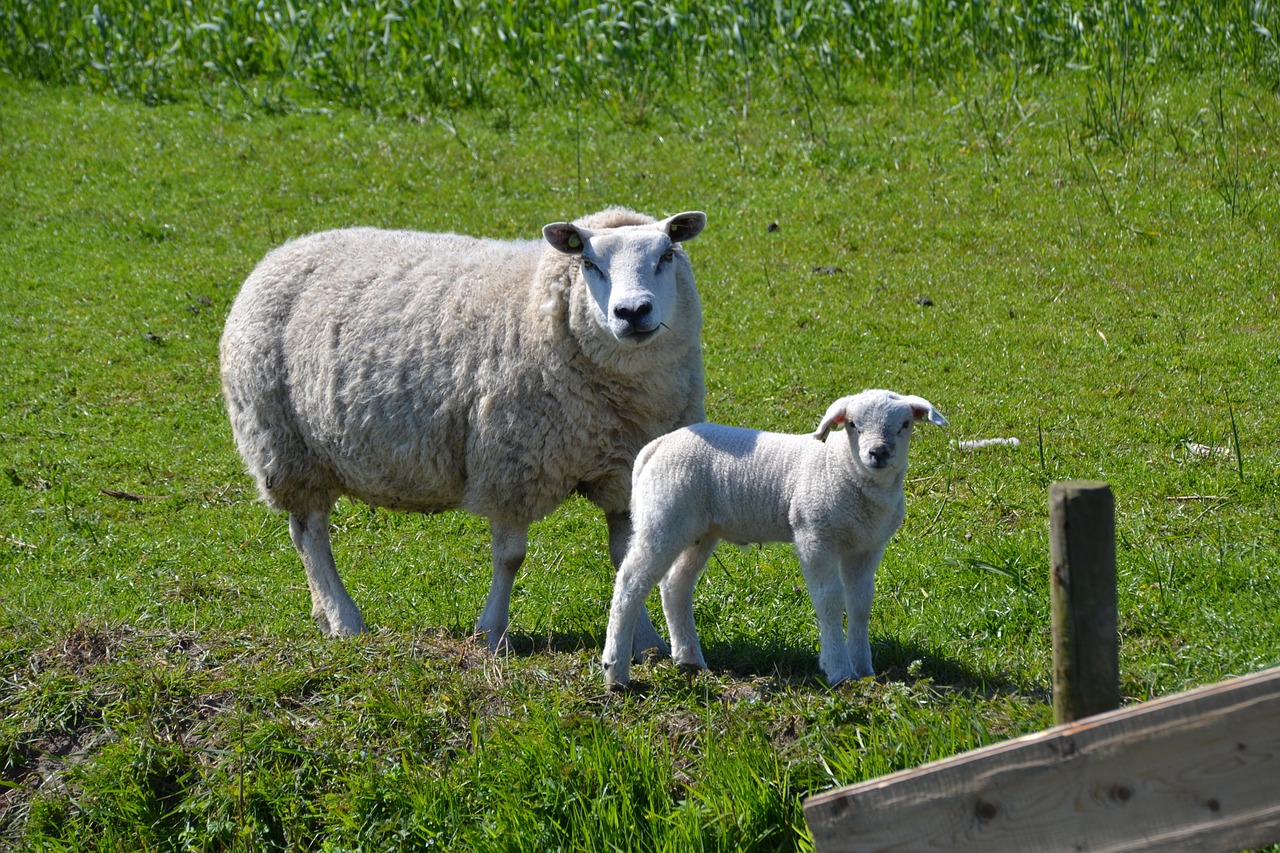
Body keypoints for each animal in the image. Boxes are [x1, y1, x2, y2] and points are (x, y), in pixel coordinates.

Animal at [215, 202, 706, 653]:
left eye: (666, 254)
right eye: (588, 262)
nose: (632, 312)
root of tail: (282, 252)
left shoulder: (623, 472)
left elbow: (626, 558)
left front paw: (644, 643)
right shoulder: (511, 464)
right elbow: (510, 558)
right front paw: (491, 633)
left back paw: (328, 616)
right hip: (286, 448)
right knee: (310, 536)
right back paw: (344, 619)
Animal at [596, 384, 942, 686]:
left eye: (905, 424)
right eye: (853, 424)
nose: (878, 453)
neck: (842, 467)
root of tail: (655, 447)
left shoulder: (867, 546)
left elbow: (861, 603)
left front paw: (865, 671)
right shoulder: (815, 535)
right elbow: (830, 599)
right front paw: (839, 670)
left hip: (699, 530)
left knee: (675, 585)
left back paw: (689, 659)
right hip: (663, 518)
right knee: (630, 582)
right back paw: (616, 672)